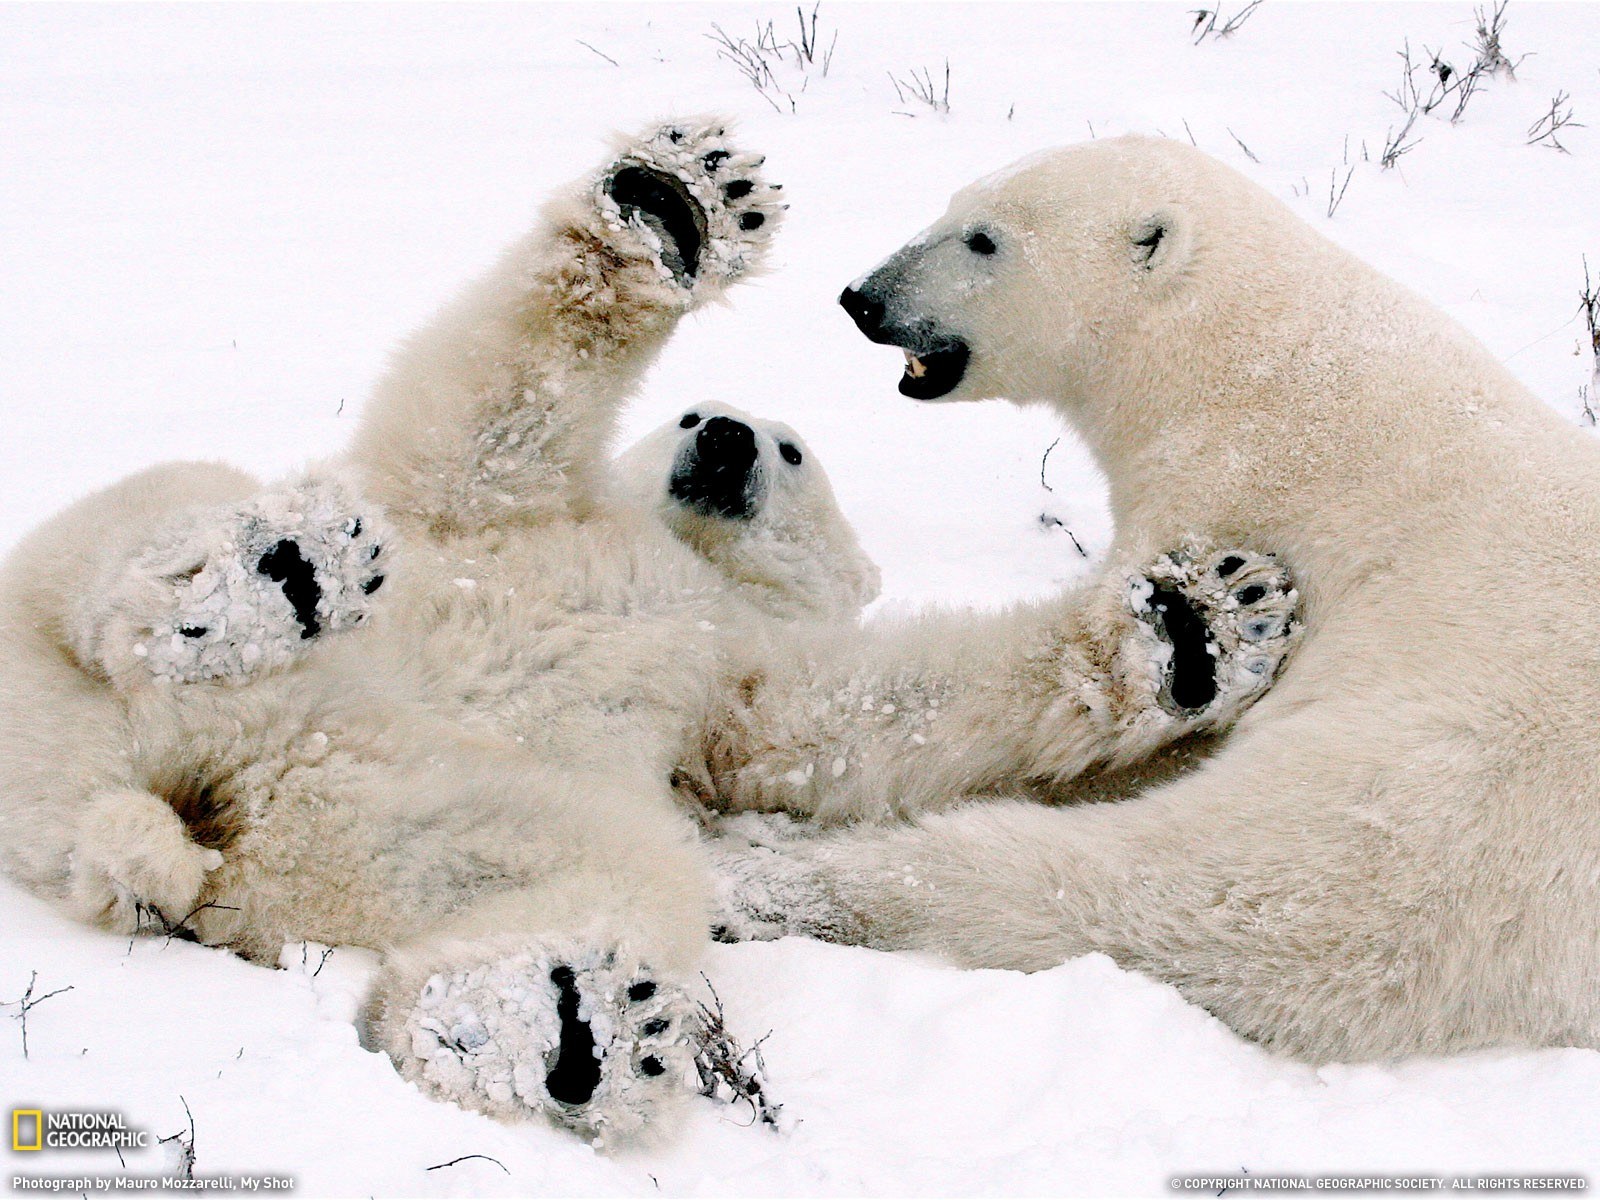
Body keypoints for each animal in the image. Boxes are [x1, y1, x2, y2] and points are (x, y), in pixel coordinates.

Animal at [0, 121, 1294, 1144]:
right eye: (690, 410)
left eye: (792, 449)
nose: (723, 437)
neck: (681, 562)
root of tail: (177, 819)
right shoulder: (502, 521)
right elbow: (490, 417)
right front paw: (681, 202)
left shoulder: (734, 671)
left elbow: (867, 712)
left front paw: (1202, 623)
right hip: (69, 656)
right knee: (133, 538)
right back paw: (261, 579)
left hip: (425, 819)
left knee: (590, 882)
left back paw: (563, 1029)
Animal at [711, 133, 1600, 1065]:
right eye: (952, 204)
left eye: (984, 239)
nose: (863, 298)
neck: (1232, 350)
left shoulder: (1237, 482)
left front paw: (1192, 638)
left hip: (1435, 793)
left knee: (1180, 891)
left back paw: (783, 881)